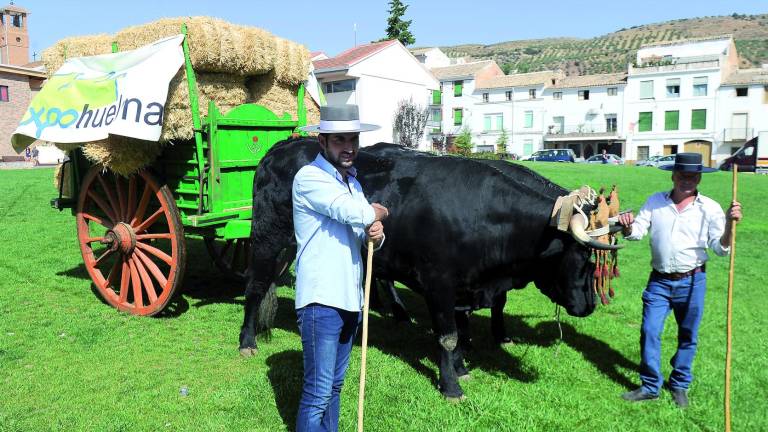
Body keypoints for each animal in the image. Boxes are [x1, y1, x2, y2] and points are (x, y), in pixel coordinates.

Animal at [243, 138, 616, 398]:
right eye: (581, 257)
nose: (588, 306)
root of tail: (285, 144)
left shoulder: (465, 288)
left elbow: (461, 332)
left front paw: (463, 367)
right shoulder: (439, 284)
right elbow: (448, 337)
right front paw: (451, 386)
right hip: (267, 238)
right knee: (255, 287)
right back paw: (247, 341)